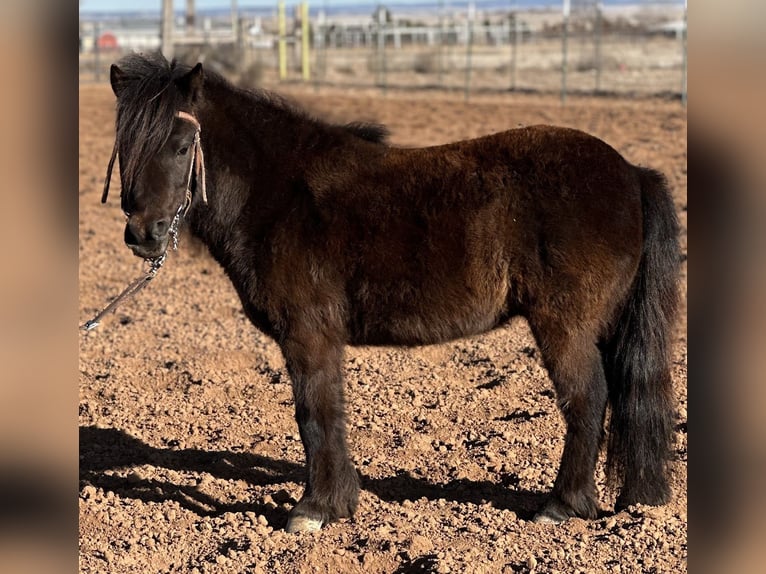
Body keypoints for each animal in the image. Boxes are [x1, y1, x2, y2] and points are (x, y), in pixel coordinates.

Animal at [99, 52, 680, 533]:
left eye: (181, 146)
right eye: (124, 148)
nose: (143, 235)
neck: (281, 194)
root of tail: (631, 173)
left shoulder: (308, 336)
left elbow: (315, 414)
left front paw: (315, 510)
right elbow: (326, 413)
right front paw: (337, 503)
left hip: (564, 326)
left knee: (587, 399)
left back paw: (562, 506)